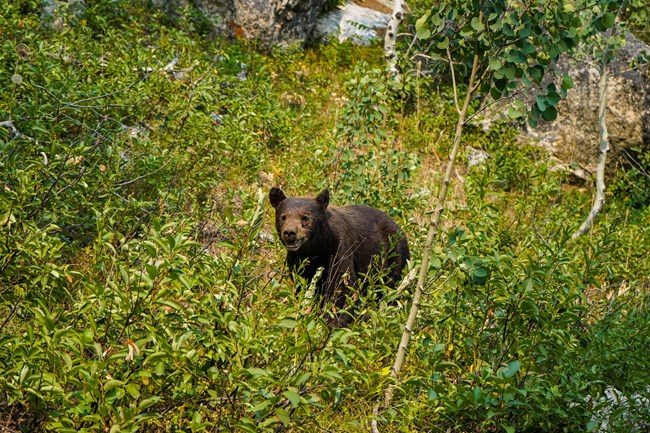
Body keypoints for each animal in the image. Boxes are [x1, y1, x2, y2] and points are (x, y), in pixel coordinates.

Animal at [266, 185, 408, 324]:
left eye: (305, 217)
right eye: (283, 216)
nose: (289, 232)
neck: (316, 249)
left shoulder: (338, 250)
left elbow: (343, 286)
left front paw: (333, 321)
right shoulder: (298, 263)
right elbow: (304, 288)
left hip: (394, 257)